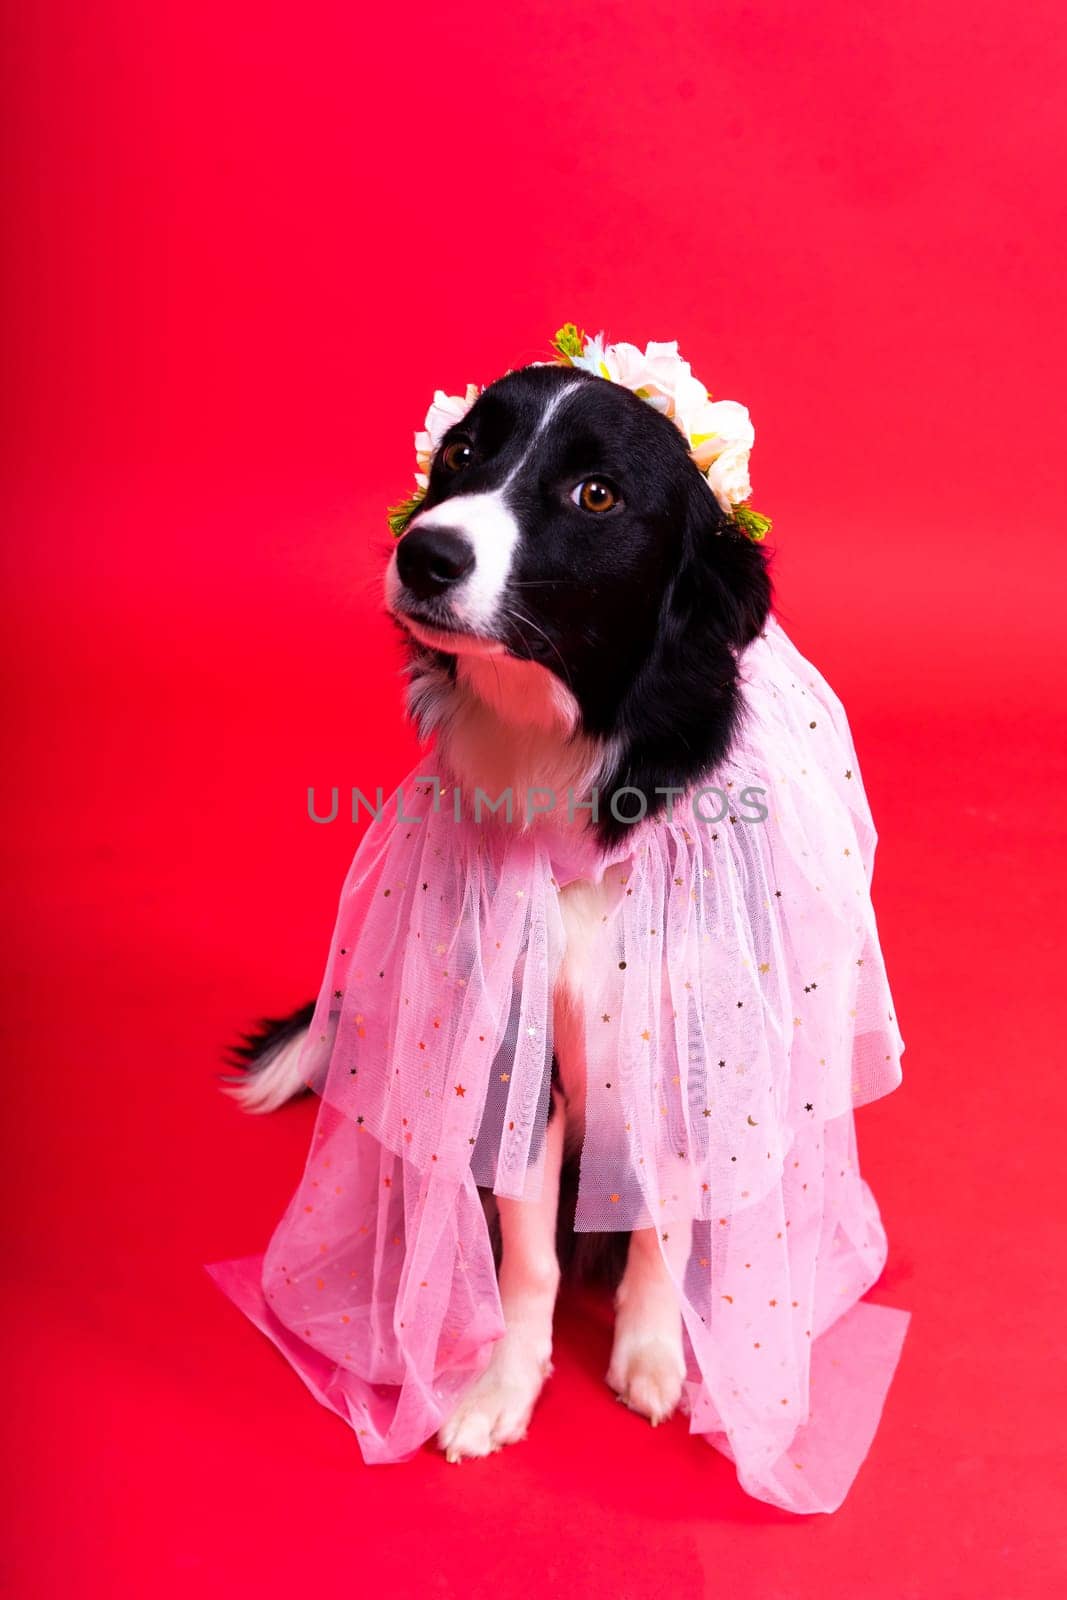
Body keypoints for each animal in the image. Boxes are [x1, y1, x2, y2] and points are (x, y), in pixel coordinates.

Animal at [233, 366, 771, 1465]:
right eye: (463, 452)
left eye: (596, 494)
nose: (425, 551)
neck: (559, 756)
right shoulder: (510, 1046)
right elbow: (525, 1253)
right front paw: (500, 1381)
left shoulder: (679, 1036)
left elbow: (660, 1221)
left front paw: (653, 1349)